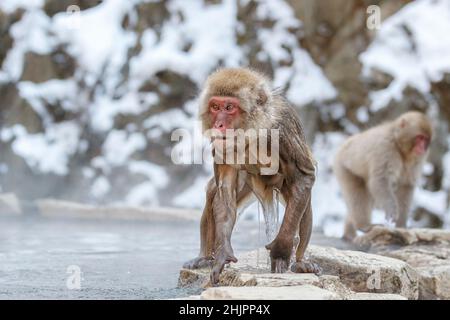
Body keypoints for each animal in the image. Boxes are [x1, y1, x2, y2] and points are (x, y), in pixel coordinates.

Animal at [183, 67, 320, 284]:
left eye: (229, 107)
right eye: (215, 107)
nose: (218, 124)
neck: (251, 131)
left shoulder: (283, 131)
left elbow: (305, 175)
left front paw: (281, 250)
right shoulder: (221, 145)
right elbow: (225, 191)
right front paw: (222, 255)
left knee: (303, 199)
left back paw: (300, 262)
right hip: (248, 185)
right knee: (213, 191)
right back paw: (204, 258)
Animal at [334, 112, 432, 240]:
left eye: (426, 140)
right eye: (420, 138)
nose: (422, 147)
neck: (399, 147)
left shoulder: (418, 158)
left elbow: (406, 186)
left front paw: (401, 224)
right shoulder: (385, 148)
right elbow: (380, 180)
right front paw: (392, 211)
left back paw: (349, 233)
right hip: (343, 168)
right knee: (358, 195)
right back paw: (364, 226)